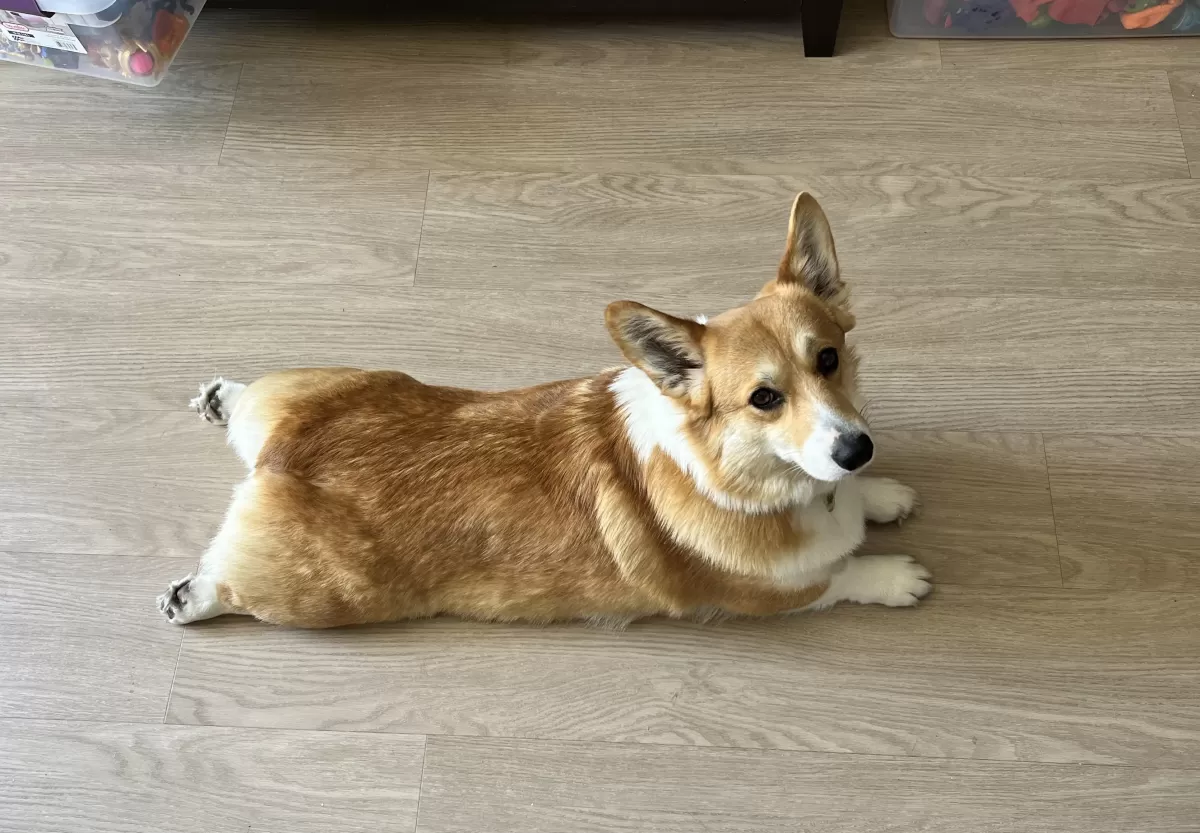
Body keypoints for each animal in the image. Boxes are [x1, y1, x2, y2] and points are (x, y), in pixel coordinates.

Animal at [157, 192, 926, 628]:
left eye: (828, 359)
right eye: (764, 398)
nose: (856, 449)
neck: (748, 471)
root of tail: (280, 459)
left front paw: (885, 492)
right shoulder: (769, 596)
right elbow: (841, 576)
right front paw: (896, 575)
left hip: (324, 382)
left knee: (253, 401)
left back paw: (223, 396)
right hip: (321, 598)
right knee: (235, 585)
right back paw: (191, 597)